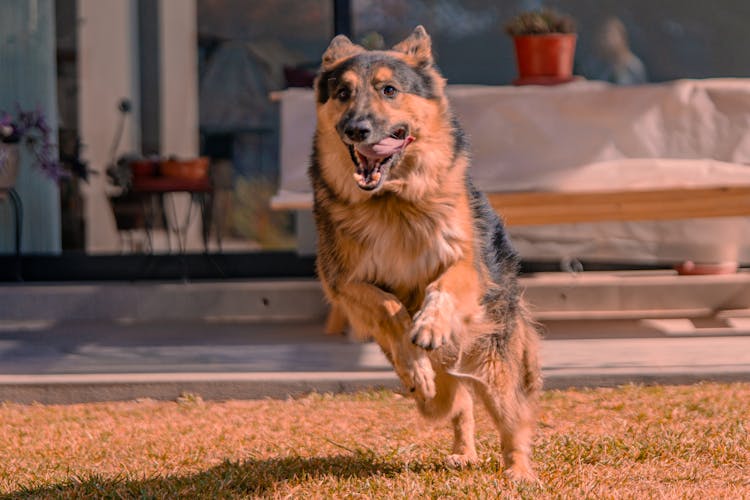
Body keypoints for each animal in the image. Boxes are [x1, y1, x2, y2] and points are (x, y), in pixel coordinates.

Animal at [308, 27, 544, 480]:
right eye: (343, 93)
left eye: (389, 90)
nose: (356, 129)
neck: (393, 202)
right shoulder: (344, 282)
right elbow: (389, 307)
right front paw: (415, 355)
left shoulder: (465, 264)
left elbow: (443, 285)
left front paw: (431, 325)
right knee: (456, 404)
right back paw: (459, 445)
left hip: (493, 364)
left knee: (513, 421)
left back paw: (520, 471)